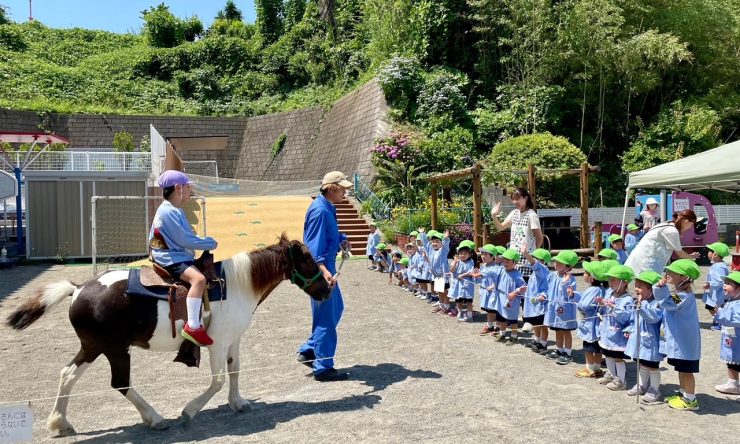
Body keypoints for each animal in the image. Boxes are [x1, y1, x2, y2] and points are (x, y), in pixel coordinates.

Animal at [5, 234, 330, 436]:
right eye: (309, 260)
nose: (327, 289)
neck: (236, 284)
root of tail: (79, 288)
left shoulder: (233, 340)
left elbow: (235, 370)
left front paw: (237, 403)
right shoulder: (216, 343)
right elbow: (217, 380)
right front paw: (190, 411)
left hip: (93, 346)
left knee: (68, 375)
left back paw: (59, 422)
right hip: (115, 350)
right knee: (120, 383)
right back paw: (155, 419)